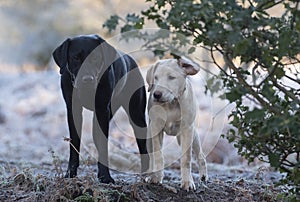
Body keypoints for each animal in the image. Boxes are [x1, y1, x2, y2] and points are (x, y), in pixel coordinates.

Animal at [53, 34, 149, 183]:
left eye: (95, 58)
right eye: (76, 58)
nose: (87, 79)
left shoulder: (102, 110)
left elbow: (104, 147)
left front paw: (105, 176)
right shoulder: (73, 111)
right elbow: (74, 145)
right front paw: (70, 174)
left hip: (136, 115)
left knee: (144, 147)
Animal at [146, 57, 207, 191]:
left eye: (171, 77)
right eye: (156, 77)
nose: (156, 94)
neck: (171, 104)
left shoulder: (187, 130)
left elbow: (186, 159)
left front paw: (187, 182)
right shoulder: (155, 127)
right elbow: (158, 154)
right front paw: (156, 177)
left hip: (193, 135)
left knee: (200, 155)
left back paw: (203, 175)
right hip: (149, 136)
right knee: (151, 155)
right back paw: (150, 174)